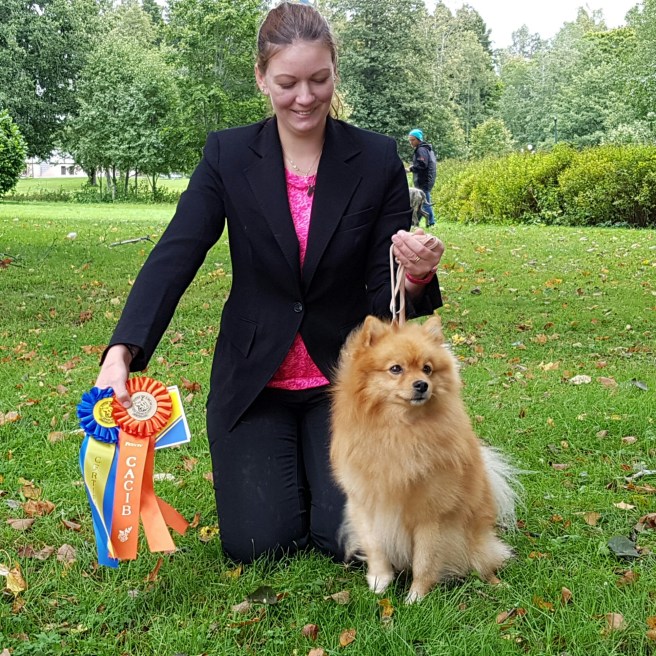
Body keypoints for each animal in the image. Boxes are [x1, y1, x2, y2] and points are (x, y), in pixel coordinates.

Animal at [330, 315, 518, 603]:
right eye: (396, 369)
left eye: (427, 369)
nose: (421, 385)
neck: (400, 432)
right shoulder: (366, 506)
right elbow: (376, 549)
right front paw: (379, 583)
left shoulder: (432, 515)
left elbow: (425, 561)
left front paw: (416, 597)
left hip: (474, 544)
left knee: (486, 563)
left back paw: (497, 585)